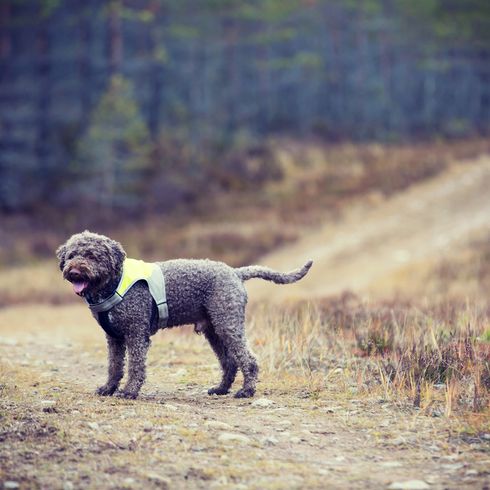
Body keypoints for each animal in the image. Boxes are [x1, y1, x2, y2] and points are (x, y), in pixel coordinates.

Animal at [55, 231, 312, 398]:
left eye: (92, 255)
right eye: (72, 255)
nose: (74, 271)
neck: (114, 282)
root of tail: (236, 272)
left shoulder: (136, 334)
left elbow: (135, 366)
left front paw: (129, 391)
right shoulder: (114, 338)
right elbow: (114, 366)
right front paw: (108, 388)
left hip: (227, 324)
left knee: (248, 359)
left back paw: (246, 390)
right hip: (214, 331)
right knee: (229, 361)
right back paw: (221, 389)